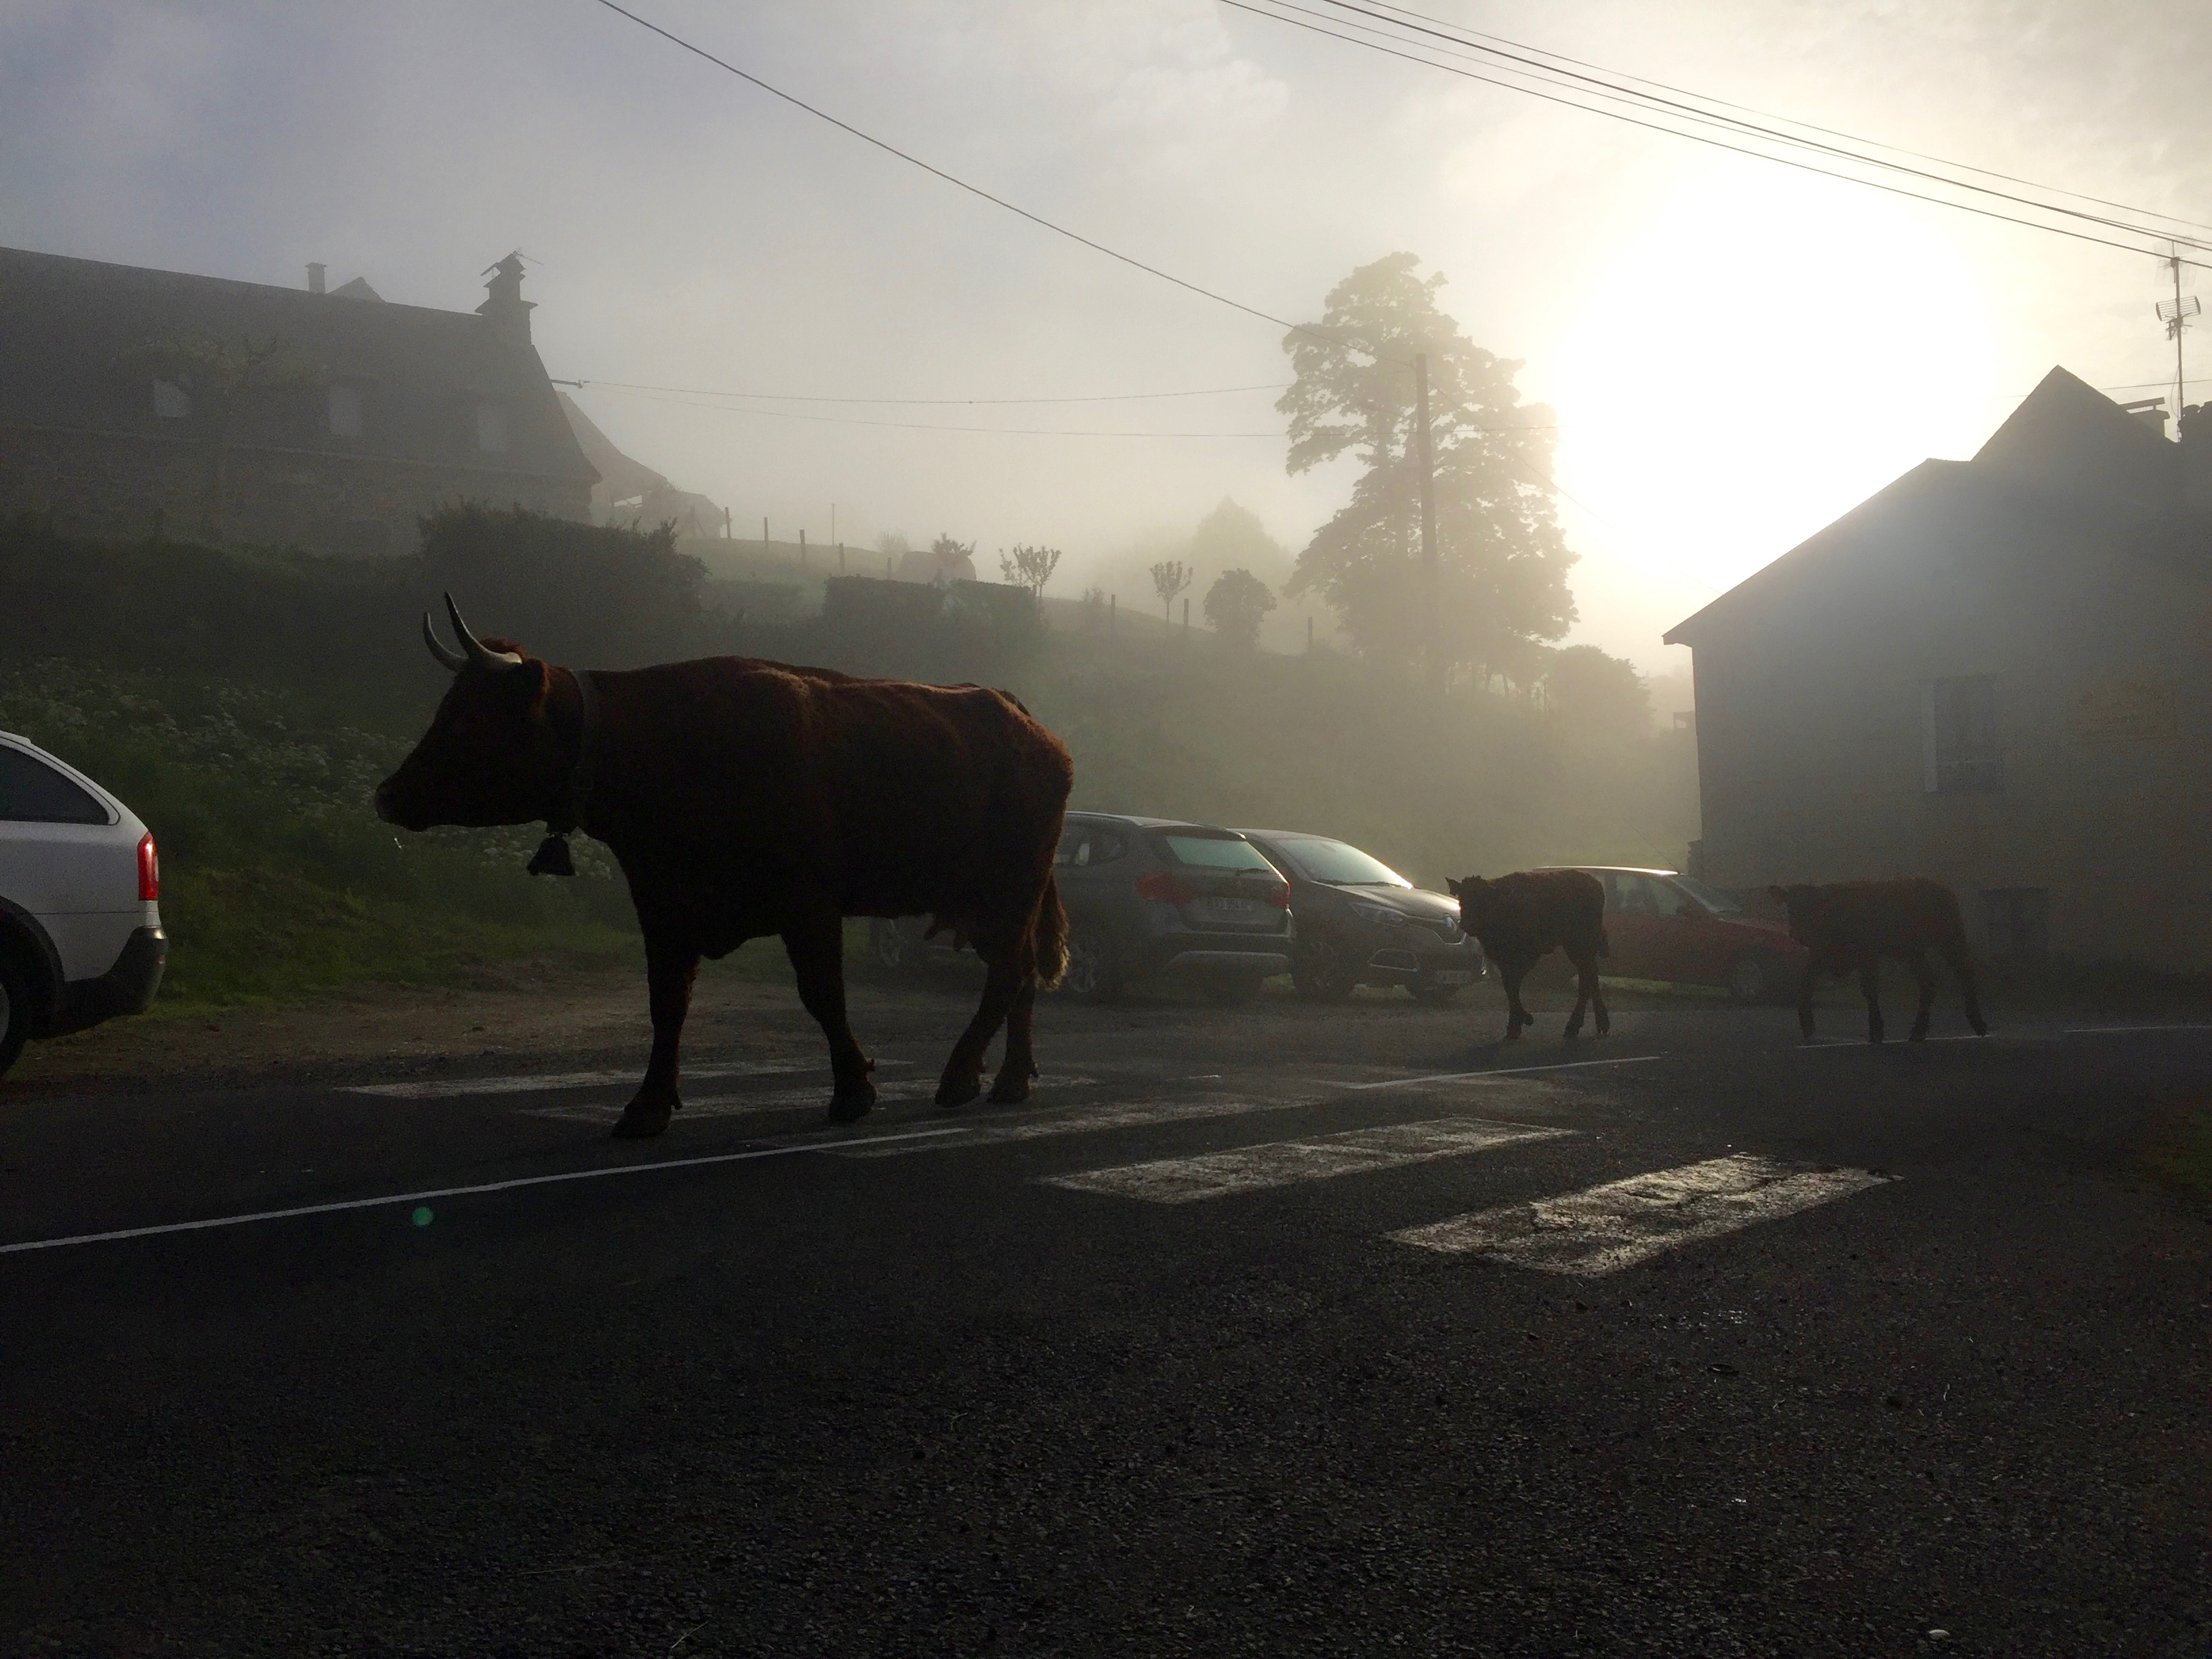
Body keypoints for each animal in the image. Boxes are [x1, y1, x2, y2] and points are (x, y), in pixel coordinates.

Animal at [375, 601, 1075, 1141]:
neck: (669, 747)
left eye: (468, 720)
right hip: (995, 904)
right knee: (1020, 981)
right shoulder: (663, 908)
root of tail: (1025, 720)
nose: (387, 794)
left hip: (1009, 890)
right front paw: (648, 1105)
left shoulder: (809, 905)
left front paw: (852, 1089)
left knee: (1008, 977)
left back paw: (959, 1076)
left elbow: (823, 997)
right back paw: (1011, 1078)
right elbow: (666, 1006)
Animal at [1451, 872, 1610, 1040]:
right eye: (1461, 898)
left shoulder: (1528, 956)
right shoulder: (1502, 959)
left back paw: (1576, 1027)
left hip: (1579, 945)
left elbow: (1512, 985)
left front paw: (1523, 1021)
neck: (1502, 904)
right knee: (1590, 976)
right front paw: (1515, 1026)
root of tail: (1594, 882)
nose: (1467, 924)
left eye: (1481, 900)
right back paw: (1596, 1024)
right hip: (1580, 948)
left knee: (1588, 977)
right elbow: (1509, 986)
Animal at [1761, 876, 1990, 1044]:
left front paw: (1877, 1031)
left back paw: (1978, 1023)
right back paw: (1918, 1032)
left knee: (1965, 972)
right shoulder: (1821, 954)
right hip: (1915, 952)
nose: (1797, 934)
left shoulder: (1867, 955)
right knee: (1927, 984)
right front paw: (1807, 1026)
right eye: (1790, 907)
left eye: (1814, 908)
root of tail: (1941, 889)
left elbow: (1870, 991)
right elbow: (1806, 983)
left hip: (1950, 940)